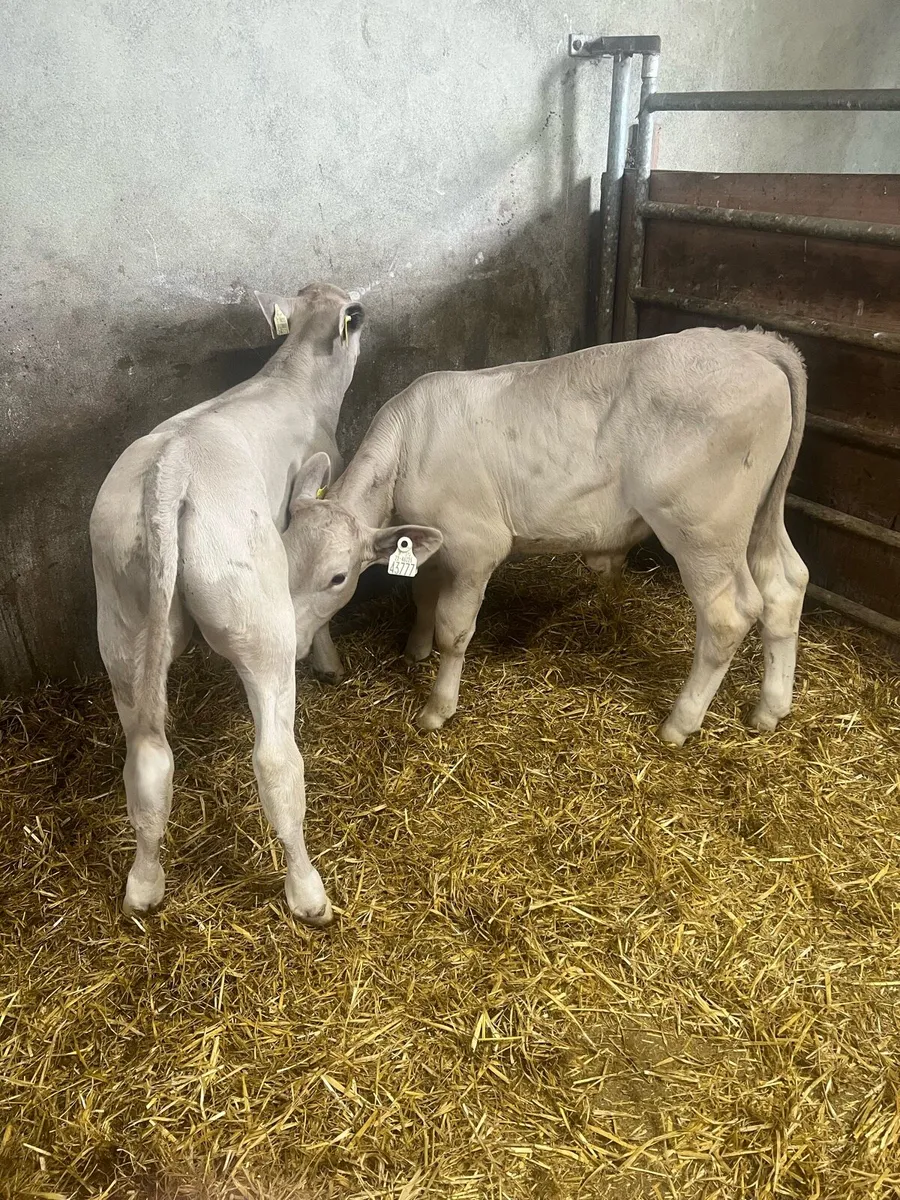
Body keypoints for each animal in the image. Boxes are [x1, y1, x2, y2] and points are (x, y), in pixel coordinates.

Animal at [90, 282, 364, 926]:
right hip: (259, 622)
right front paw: (328, 660)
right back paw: (308, 894)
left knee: (148, 758)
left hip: (121, 625)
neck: (294, 377)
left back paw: (144, 886)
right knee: (276, 762)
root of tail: (170, 470)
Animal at [283, 327, 809, 745]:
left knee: (728, 616)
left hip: (703, 529)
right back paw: (769, 708)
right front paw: (416, 648)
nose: (290, 644)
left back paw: (680, 723)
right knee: (786, 584)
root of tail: (749, 342)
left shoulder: (476, 546)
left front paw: (437, 707)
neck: (410, 444)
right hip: (758, 515)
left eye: (337, 578)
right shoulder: (431, 539)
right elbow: (423, 595)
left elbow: (455, 629)